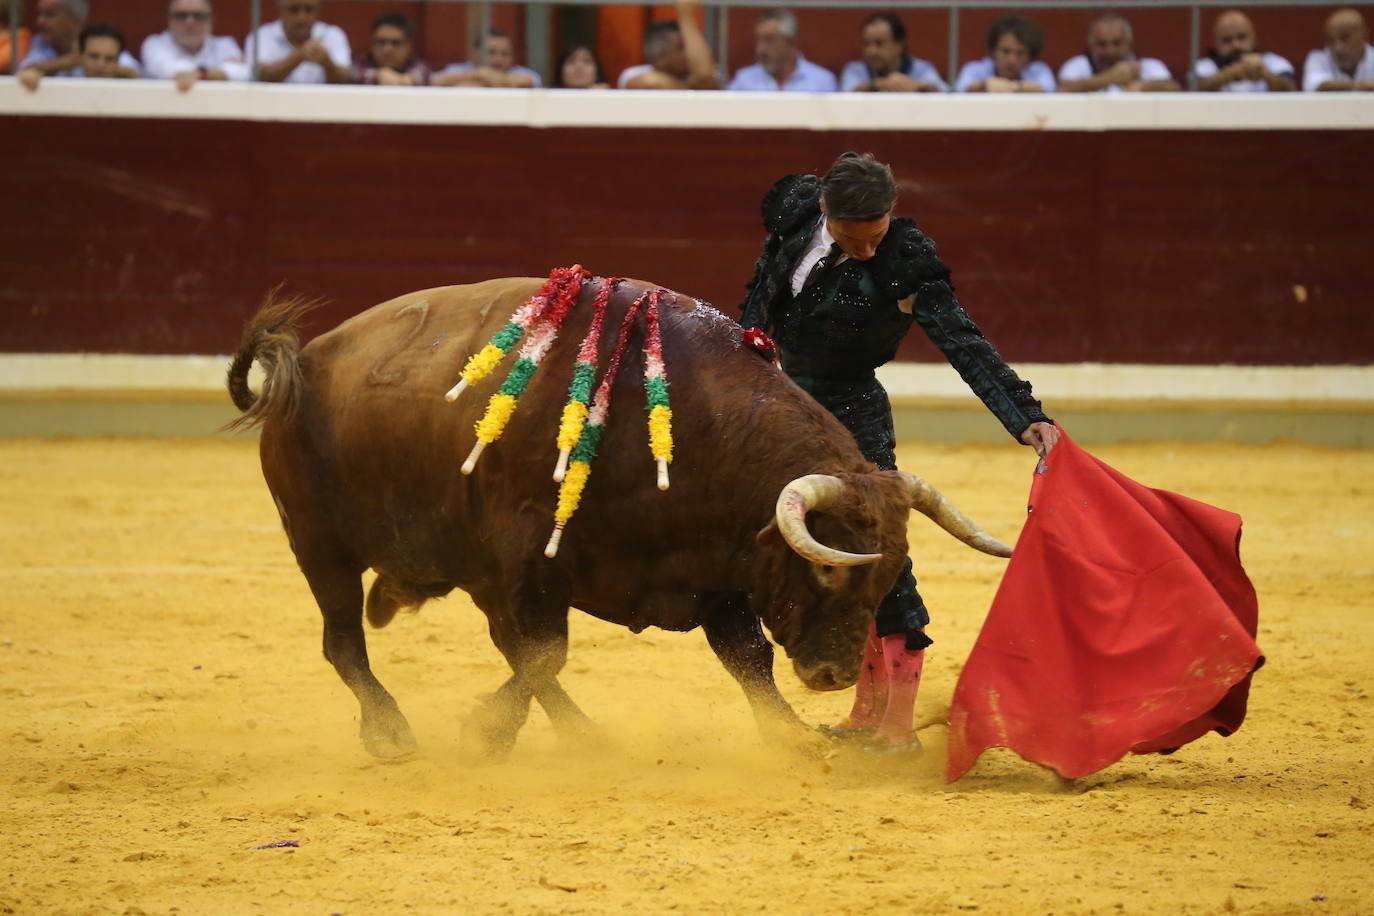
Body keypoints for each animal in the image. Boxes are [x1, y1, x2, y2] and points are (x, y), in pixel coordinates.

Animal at [228, 277, 1011, 758]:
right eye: (823, 572)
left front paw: (791, 737)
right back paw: (391, 732)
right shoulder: (530, 564)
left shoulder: (718, 570)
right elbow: (546, 652)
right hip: (318, 545)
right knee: (345, 643)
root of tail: (302, 364)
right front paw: (489, 733)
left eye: (883, 583)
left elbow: (747, 659)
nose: (833, 675)